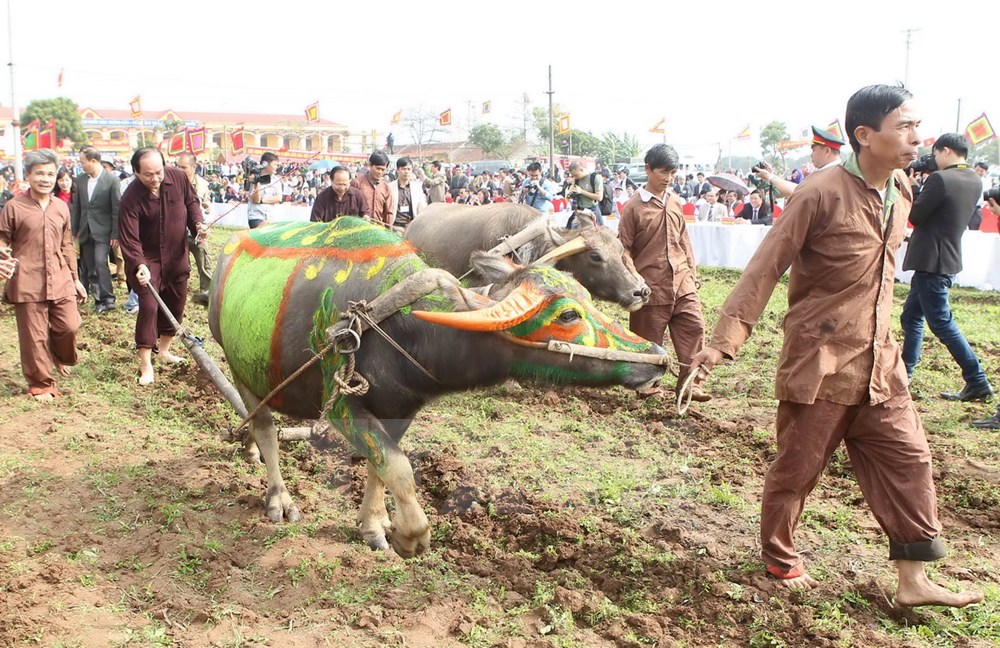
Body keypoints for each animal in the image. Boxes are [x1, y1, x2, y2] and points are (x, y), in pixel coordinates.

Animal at [208, 218, 668, 556]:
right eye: (568, 315)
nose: (658, 356)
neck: (402, 327)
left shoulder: (401, 409)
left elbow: (381, 466)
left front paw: (374, 524)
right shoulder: (342, 406)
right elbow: (399, 468)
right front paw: (411, 537)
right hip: (235, 364)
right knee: (265, 428)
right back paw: (278, 498)